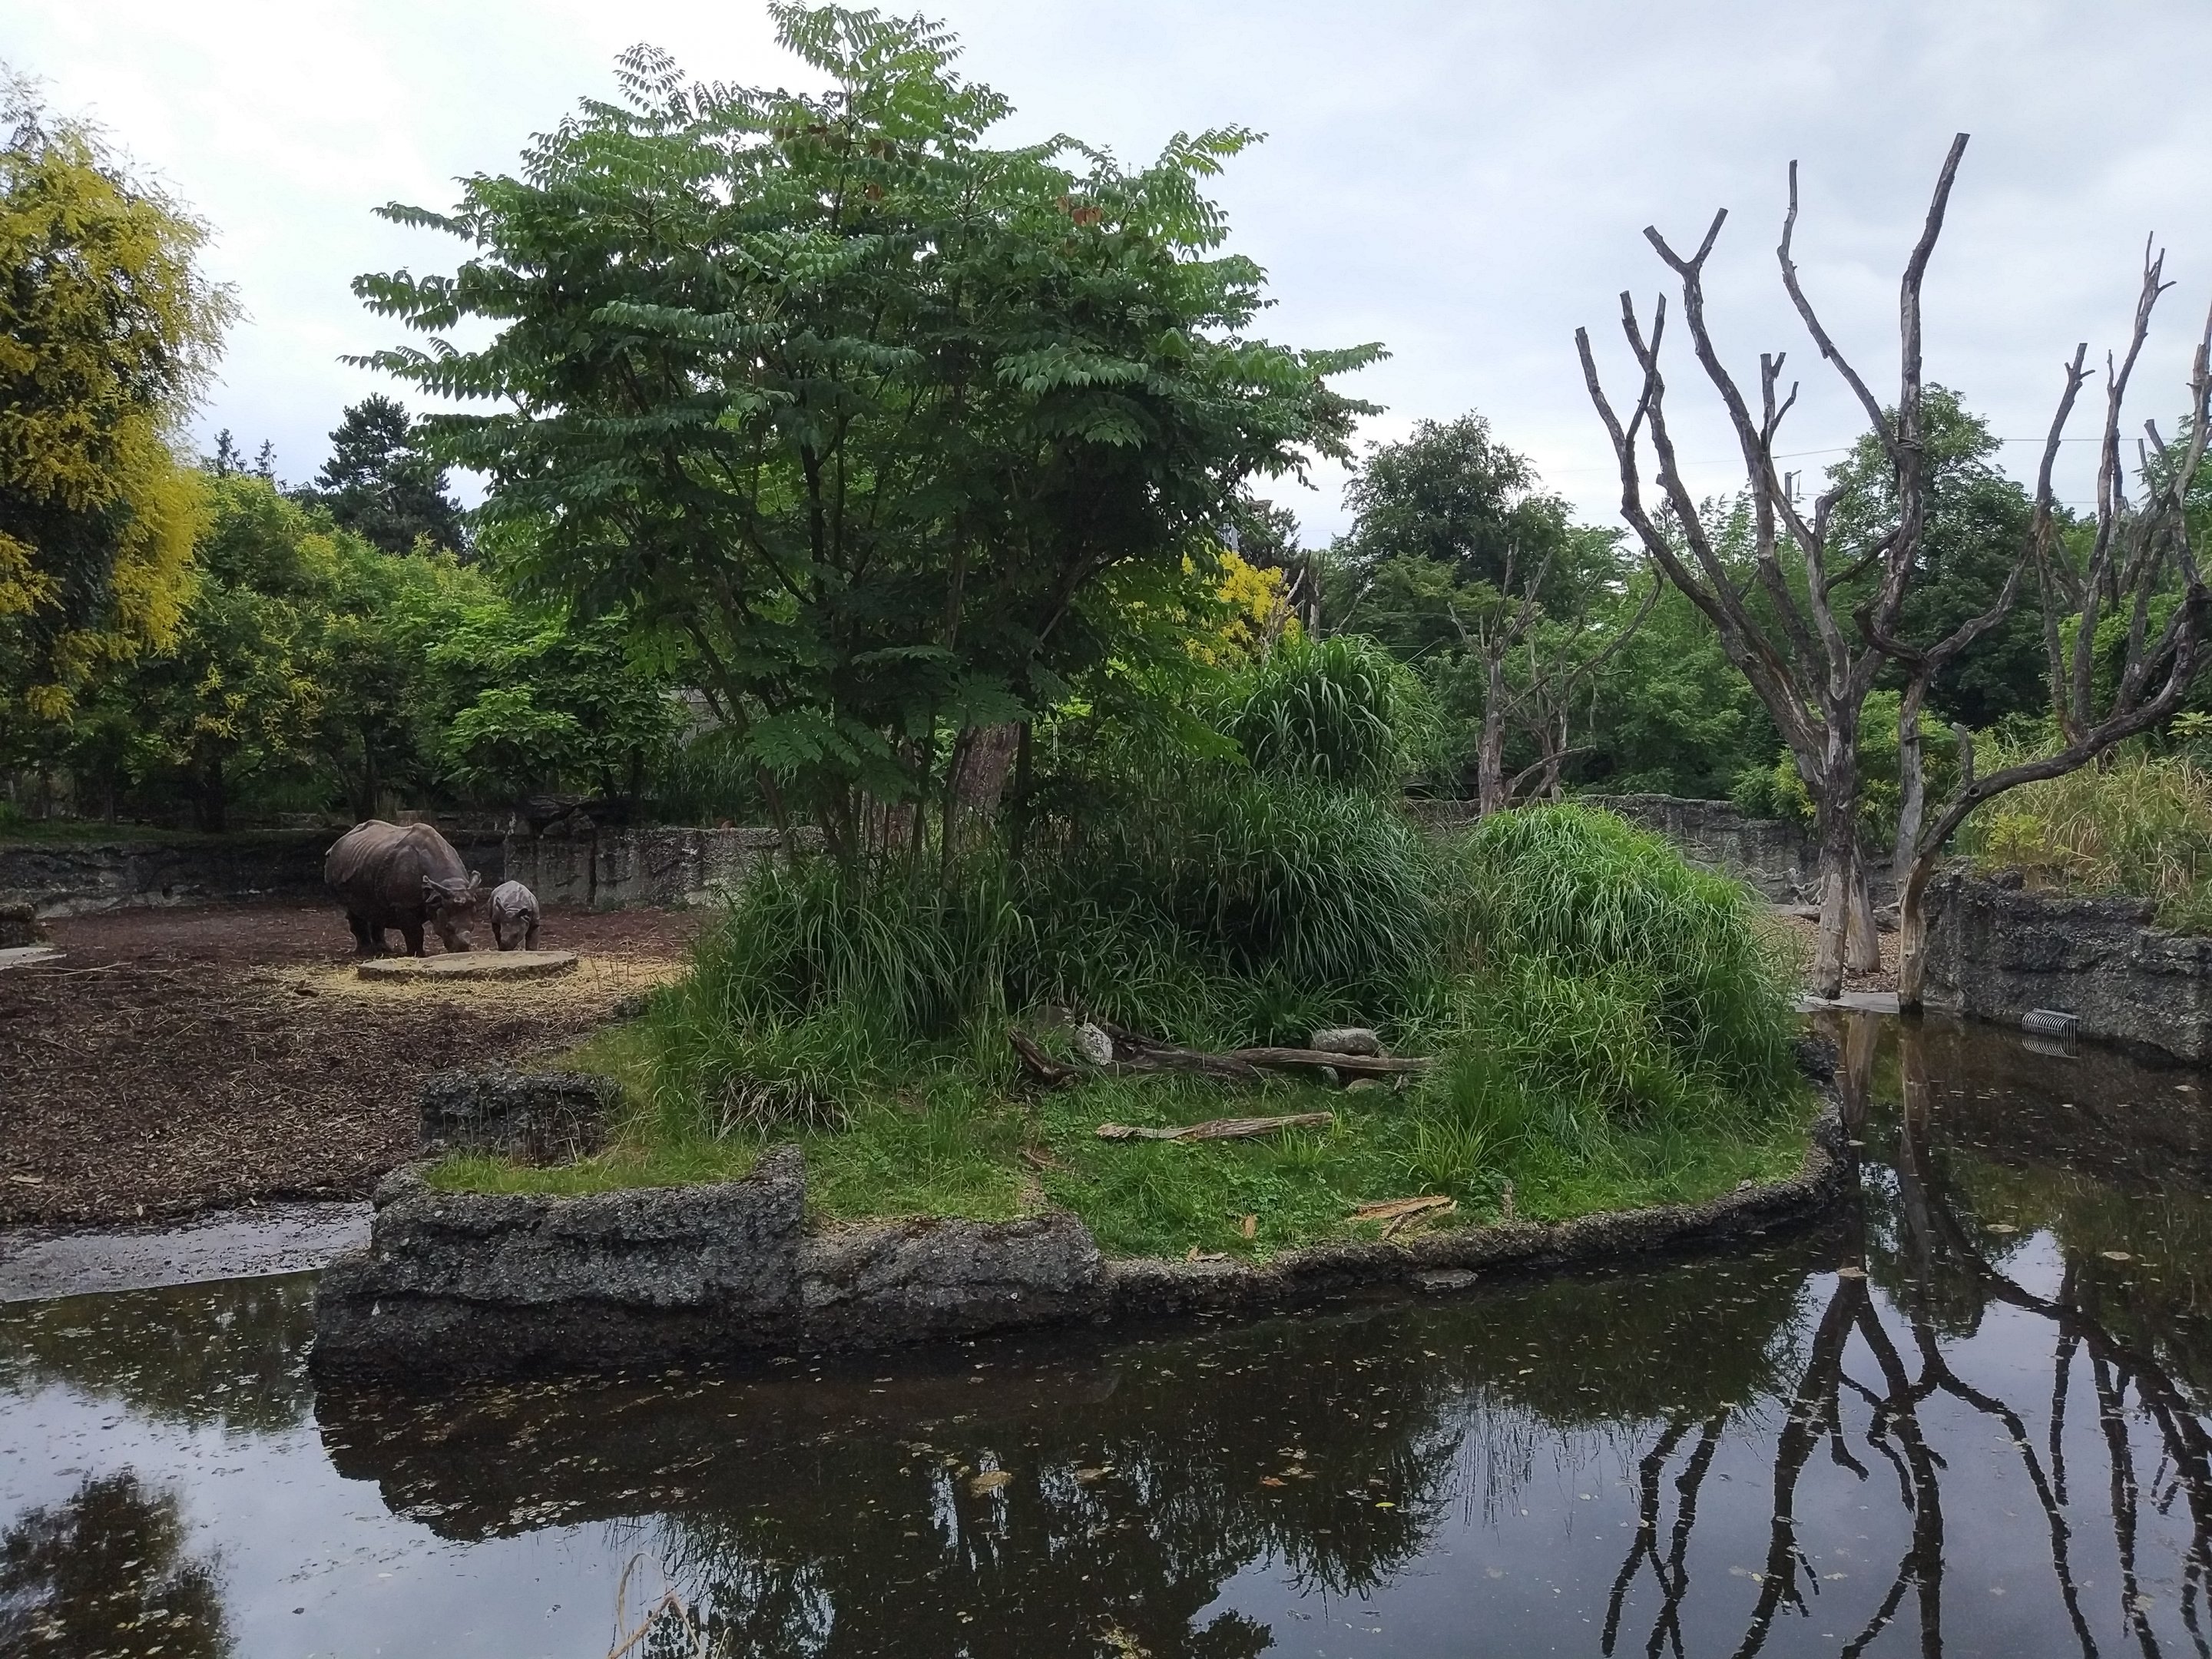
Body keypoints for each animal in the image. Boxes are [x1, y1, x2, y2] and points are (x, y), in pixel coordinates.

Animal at [325, 820, 482, 956]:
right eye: (448, 927)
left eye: (473, 927)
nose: (462, 950)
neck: (448, 883)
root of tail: (339, 841)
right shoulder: (405, 904)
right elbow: (414, 932)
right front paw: (417, 955)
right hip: (338, 862)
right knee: (354, 907)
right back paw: (366, 952)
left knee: (375, 907)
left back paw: (384, 950)